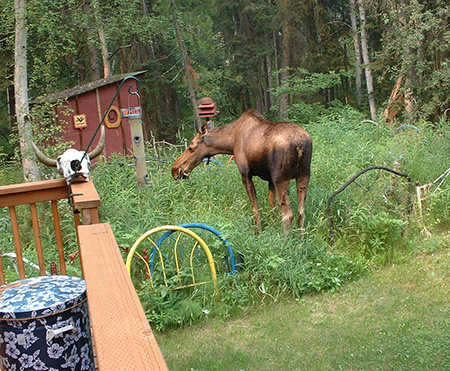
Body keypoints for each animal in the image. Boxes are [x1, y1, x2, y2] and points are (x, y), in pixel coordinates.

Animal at [172, 108, 312, 235]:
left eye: (191, 148)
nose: (175, 169)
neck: (231, 142)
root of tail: (299, 143)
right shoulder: (270, 179)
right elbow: (271, 206)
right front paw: (272, 226)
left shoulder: (246, 173)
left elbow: (256, 209)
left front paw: (259, 233)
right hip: (304, 175)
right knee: (301, 213)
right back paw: (301, 243)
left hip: (281, 178)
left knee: (288, 215)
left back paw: (285, 244)